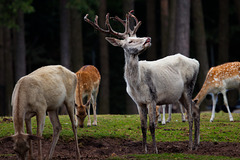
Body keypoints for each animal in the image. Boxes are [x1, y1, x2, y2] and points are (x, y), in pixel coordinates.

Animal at [84, 10, 201, 153]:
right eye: (130, 41)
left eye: (138, 36)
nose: (148, 39)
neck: (137, 85)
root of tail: (196, 62)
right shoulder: (138, 102)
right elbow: (143, 126)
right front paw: (144, 150)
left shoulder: (152, 98)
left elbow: (152, 125)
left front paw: (155, 150)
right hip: (180, 95)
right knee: (195, 110)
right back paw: (196, 145)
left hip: (189, 87)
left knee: (190, 115)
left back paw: (190, 146)